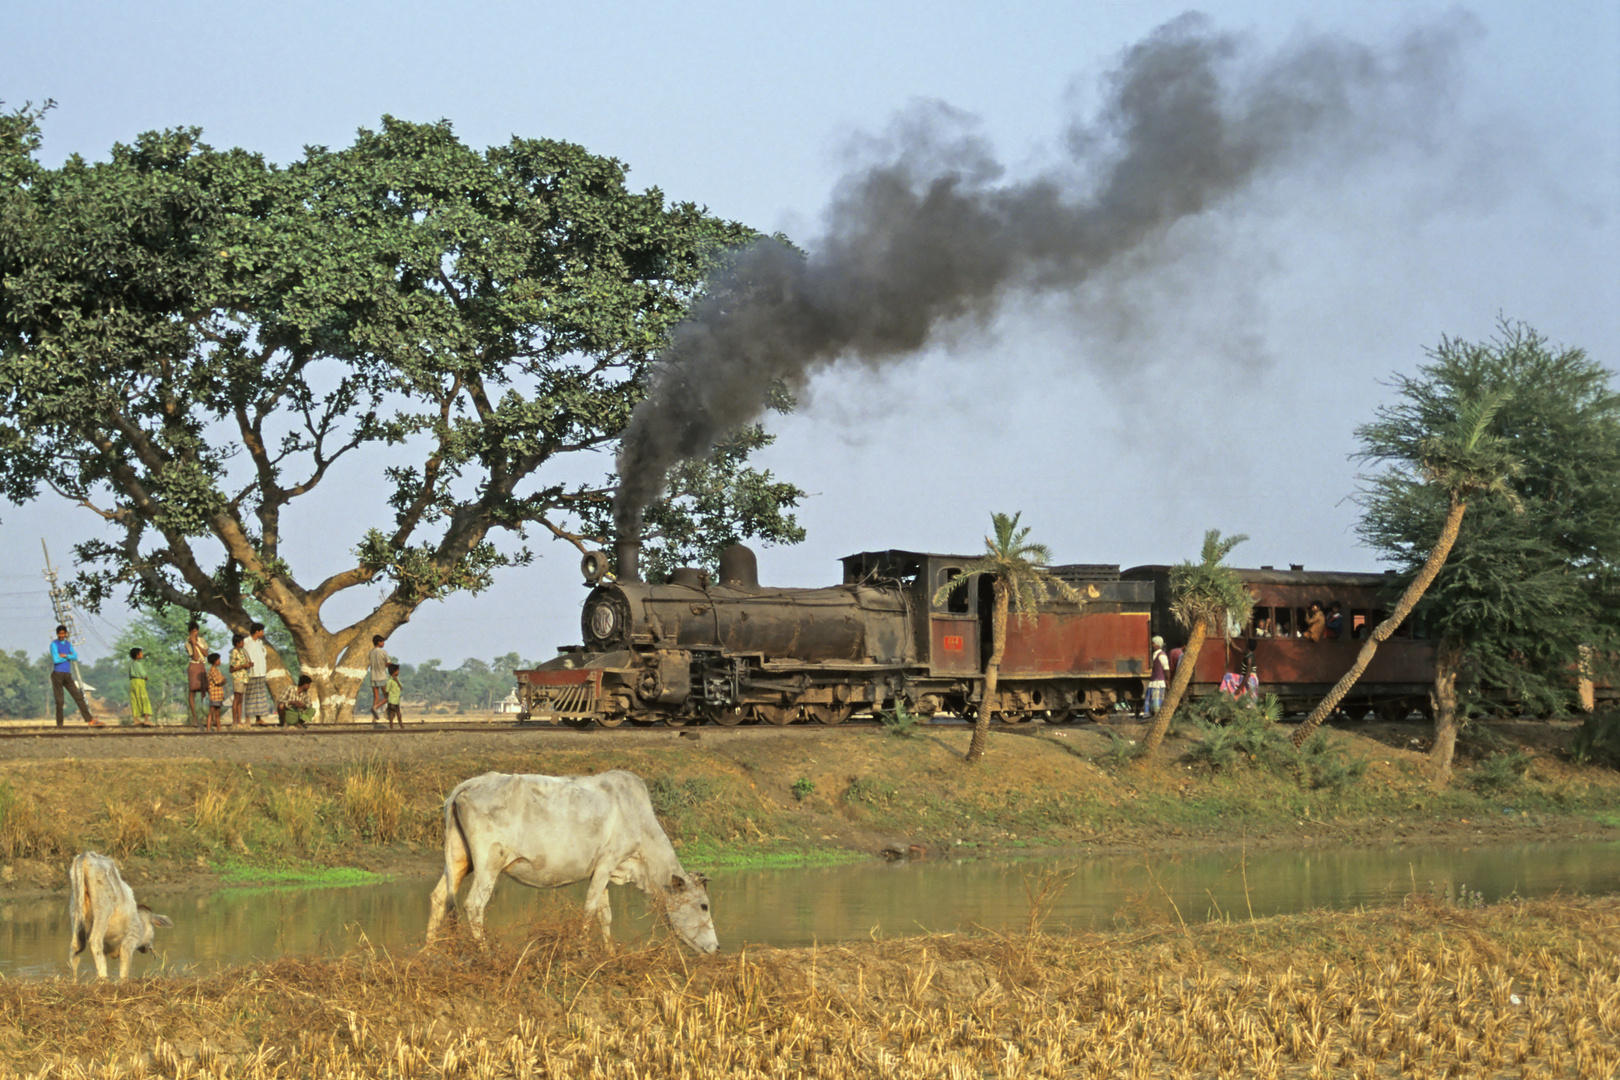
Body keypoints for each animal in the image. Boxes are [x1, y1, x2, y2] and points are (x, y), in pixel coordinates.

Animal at [427, 767, 719, 952]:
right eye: (704, 905)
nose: (716, 947)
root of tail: (472, 783)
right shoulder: (607, 862)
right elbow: (590, 909)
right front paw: (583, 951)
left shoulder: (604, 872)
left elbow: (605, 914)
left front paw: (609, 953)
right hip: (489, 863)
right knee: (474, 905)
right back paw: (485, 953)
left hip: (459, 859)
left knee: (439, 897)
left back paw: (429, 954)